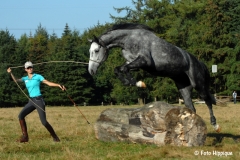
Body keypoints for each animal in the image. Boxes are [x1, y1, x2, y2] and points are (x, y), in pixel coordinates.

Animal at [87, 23, 219, 131]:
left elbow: (124, 69)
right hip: (183, 88)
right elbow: (119, 69)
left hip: (198, 84)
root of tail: (199, 62)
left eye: (96, 50)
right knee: (191, 107)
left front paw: (138, 83)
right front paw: (131, 82)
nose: (91, 71)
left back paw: (215, 124)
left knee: (207, 100)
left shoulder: (145, 61)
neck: (129, 39)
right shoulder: (133, 63)